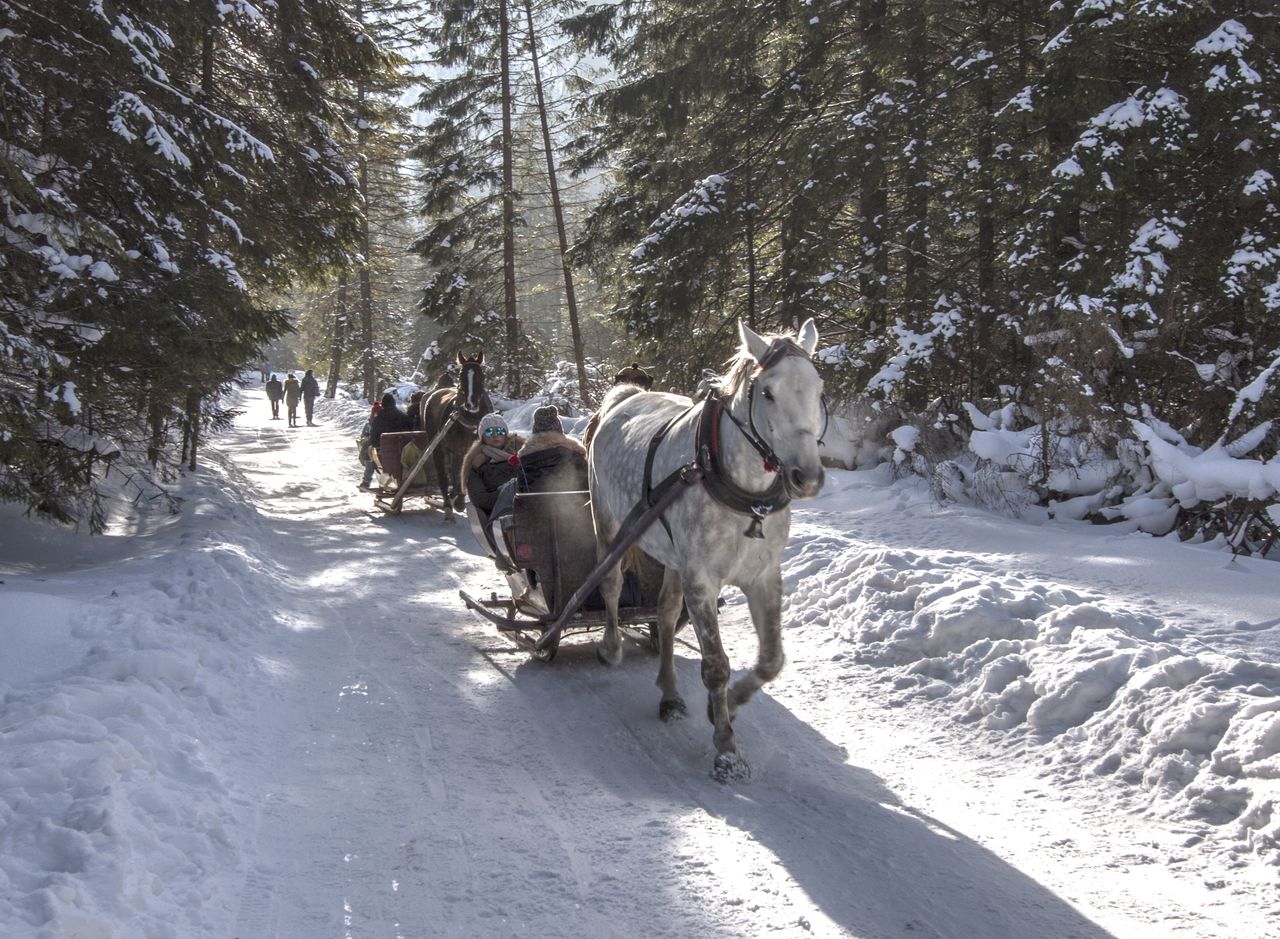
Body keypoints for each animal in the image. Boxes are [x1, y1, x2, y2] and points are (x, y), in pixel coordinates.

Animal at [419, 350, 488, 519]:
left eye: (481, 376)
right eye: (461, 376)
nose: (471, 404)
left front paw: (460, 498)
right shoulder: (457, 449)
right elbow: (457, 473)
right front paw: (458, 502)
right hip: (438, 446)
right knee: (443, 474)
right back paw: (448, 506)